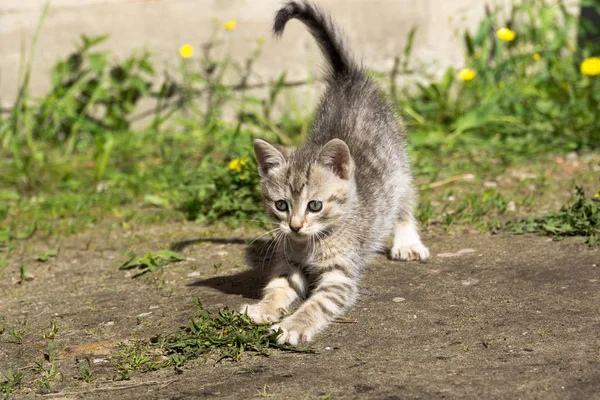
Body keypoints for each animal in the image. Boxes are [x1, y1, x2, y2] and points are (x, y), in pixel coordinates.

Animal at [241, 0, 428, 346]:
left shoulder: (340, 277)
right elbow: (278, 288)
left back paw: (407, 241)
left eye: (315, 205)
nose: (295, 226)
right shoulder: (287, 263)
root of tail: (348, 77)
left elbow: (318, 303)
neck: (310, 243)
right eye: (281, 205)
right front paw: (263, 309)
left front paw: (293, 326)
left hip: (398, 163)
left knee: (406, 198)